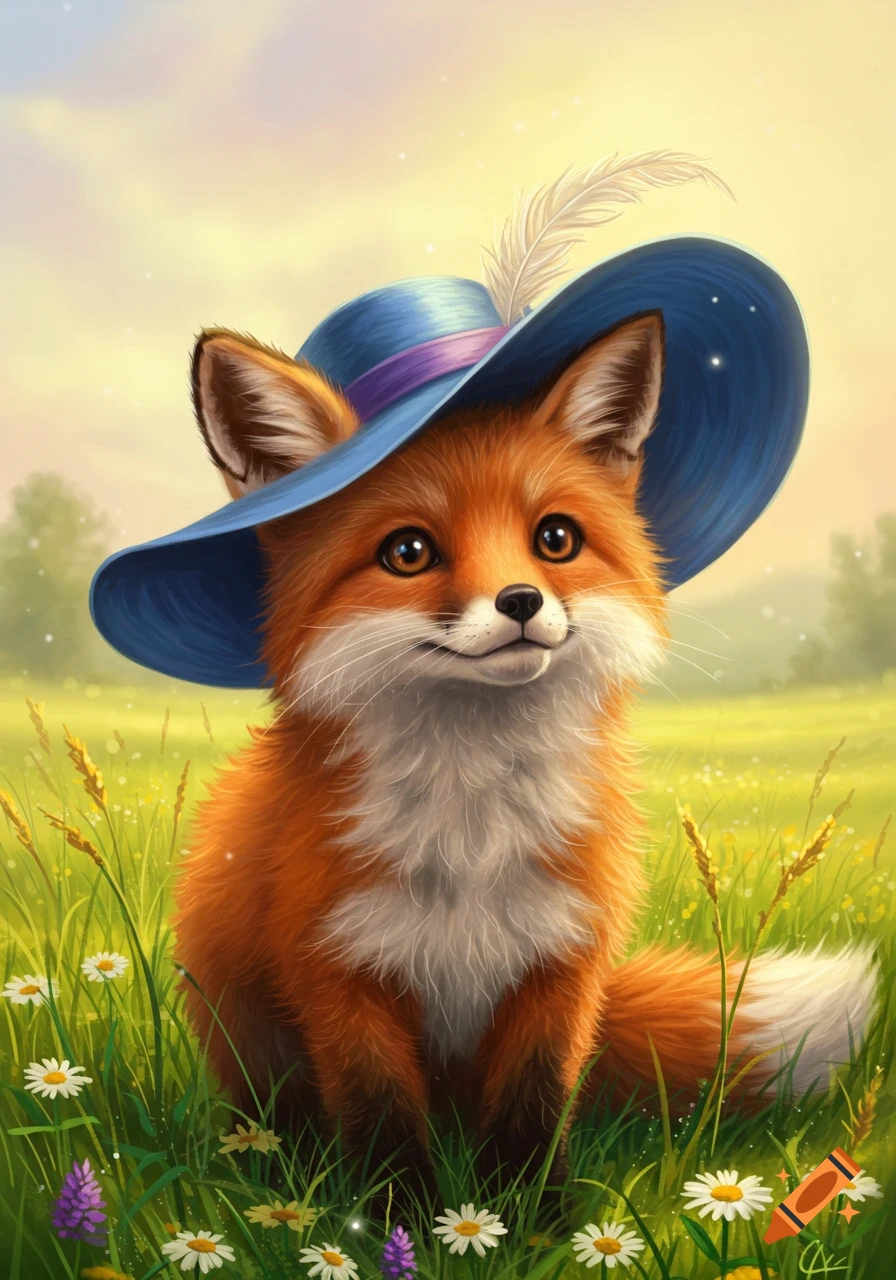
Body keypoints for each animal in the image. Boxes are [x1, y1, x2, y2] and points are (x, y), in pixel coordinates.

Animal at [174, 312, 877, 1204]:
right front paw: (402, 1219)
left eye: (556, 538)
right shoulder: (337, 970)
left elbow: (531, 1113)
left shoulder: (560, 963)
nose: (520, 602)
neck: (471, 829)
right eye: (408, 552)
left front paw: (531, 1216)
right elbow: (382, 1123)